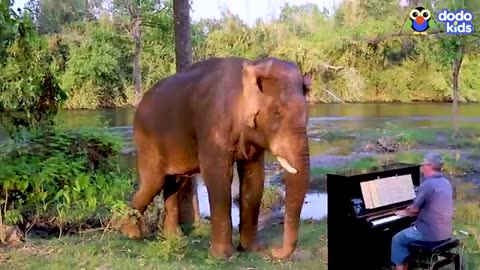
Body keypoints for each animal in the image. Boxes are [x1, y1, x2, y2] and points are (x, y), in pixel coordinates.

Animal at [121, 56, 312, 260]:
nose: (274, 250)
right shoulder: (212, 126)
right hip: (146, 142)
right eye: (277, 113)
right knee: (154, 182)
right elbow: (218, 175)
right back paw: (131, 234)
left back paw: (174, 237)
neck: (253, 65)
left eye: (307, 114)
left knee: (174, 183)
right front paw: (221, 256)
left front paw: (251, 249)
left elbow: (254, 176)